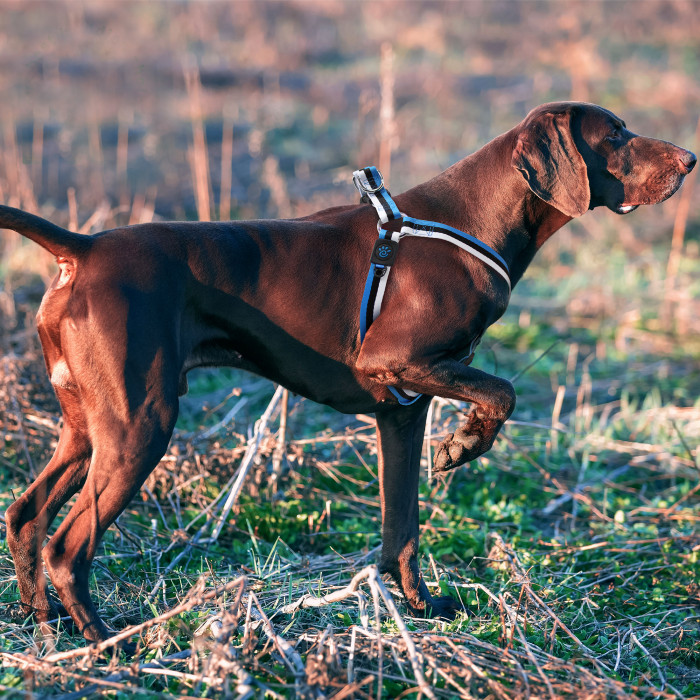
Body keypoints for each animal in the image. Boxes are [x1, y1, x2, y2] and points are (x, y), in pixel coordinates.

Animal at [1, 101, 696, 644]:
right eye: (616, 135)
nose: (689, 159)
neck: (473, 219)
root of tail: (84, 248)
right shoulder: (396, 361)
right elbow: (503, 392)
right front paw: (464, 445)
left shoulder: (404, 409)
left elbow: (402, 528)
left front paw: (420, 606)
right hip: (140, 424)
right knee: (68, 544)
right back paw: (103, 637)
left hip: (87, 427)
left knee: (26, 515)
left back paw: (46, 624)